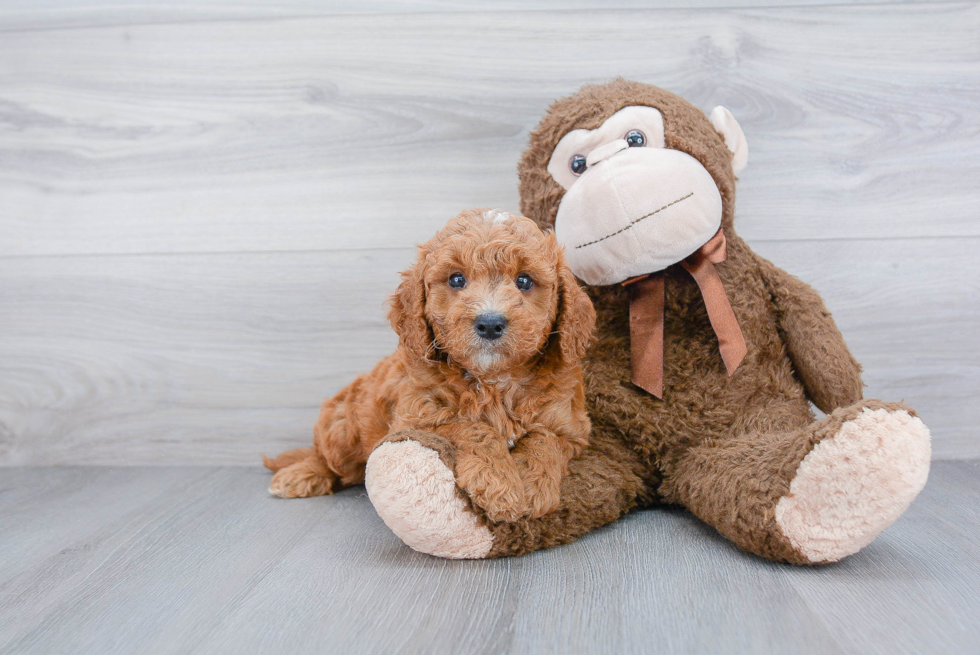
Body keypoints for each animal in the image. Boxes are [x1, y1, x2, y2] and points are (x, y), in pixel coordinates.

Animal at [264, 210, 592, 524]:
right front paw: (499, 486)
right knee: (326, 458)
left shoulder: (572, 427)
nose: (489, 323)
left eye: (524, 281)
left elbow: (546, 439)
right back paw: (299, 475)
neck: (493, 381)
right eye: (456, 280)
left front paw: (533, 485)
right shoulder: (416, 419)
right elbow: (470, 427)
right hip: (342, 427)